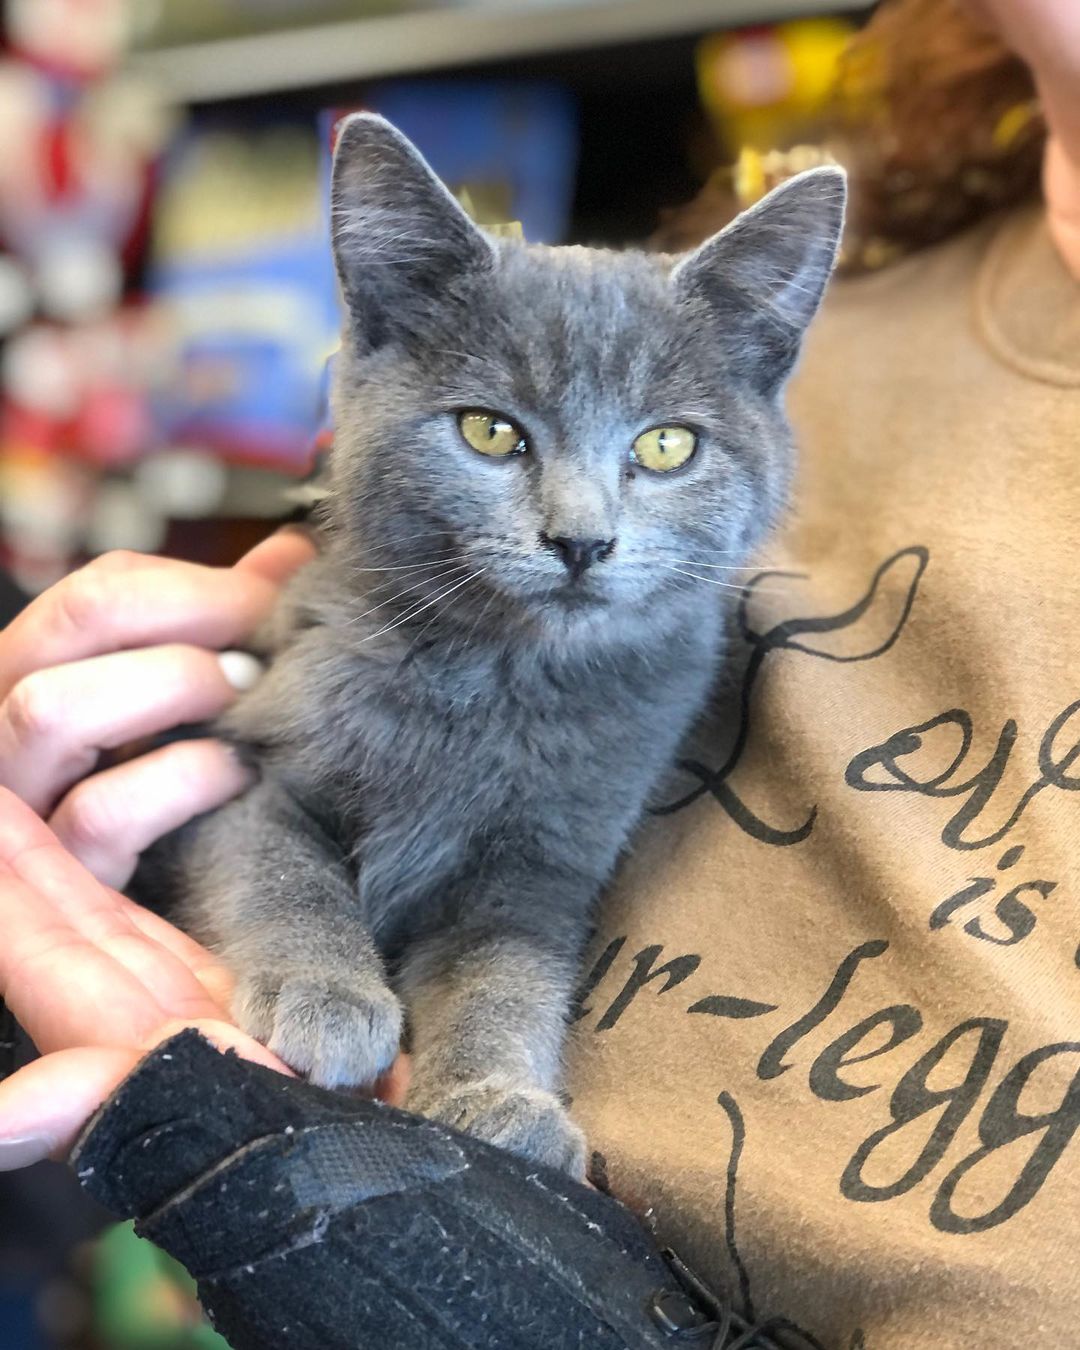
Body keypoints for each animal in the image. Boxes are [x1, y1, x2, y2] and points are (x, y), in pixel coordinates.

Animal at [170, 116, 842, 1177]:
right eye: (490, 432)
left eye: (666, 447)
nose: (581, 540)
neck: (499, 679)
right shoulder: (240, 758)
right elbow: (280, 864)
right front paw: (330, 997)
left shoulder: (543, 862)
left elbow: (506, 975)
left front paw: (495, 1094)